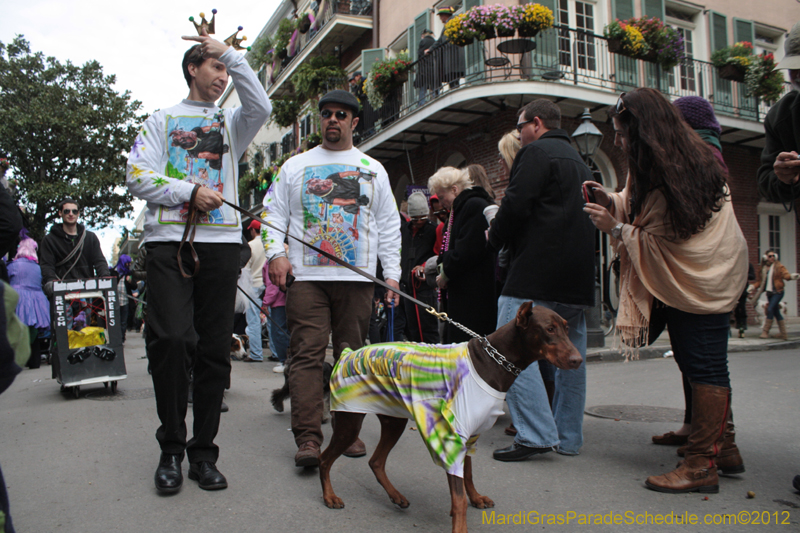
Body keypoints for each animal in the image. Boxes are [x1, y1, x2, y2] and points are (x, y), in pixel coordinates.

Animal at [318, 302, 580, 528]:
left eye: (567, 328)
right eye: (549, 329)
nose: (577, 360)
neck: (491, 362)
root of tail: (346, 354)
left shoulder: (470, 435)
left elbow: (468, 474)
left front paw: (476, 497)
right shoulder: (450, 437)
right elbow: (458, 496)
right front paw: (460, 522)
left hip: (393, 420)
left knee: (376, 461)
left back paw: (396, 496)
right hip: (350, 420)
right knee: (325, 459)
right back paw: (330, 497)